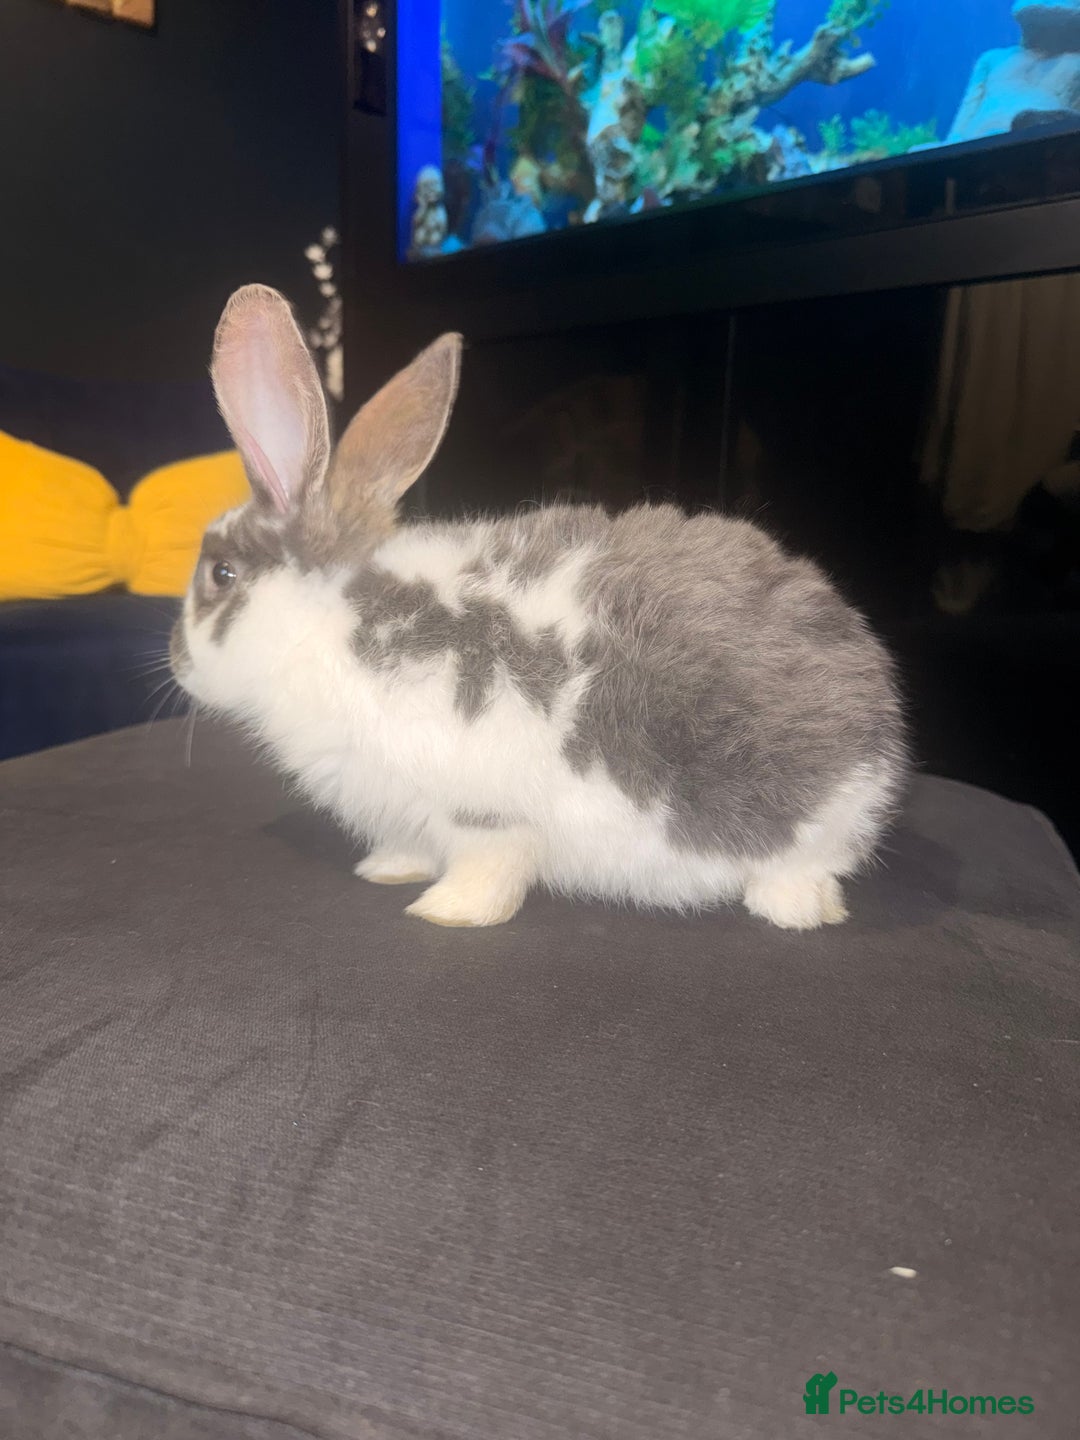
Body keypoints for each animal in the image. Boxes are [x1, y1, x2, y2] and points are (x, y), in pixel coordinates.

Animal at [171, 284, 908, 931]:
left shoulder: (480, 810)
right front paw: (386, 871)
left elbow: (488, 866)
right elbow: (411, 848)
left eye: (221, 574)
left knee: (801, 877)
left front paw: (445, 913)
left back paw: (792, 913)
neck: (326, 621)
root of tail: (882, 735)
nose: (177, 664)